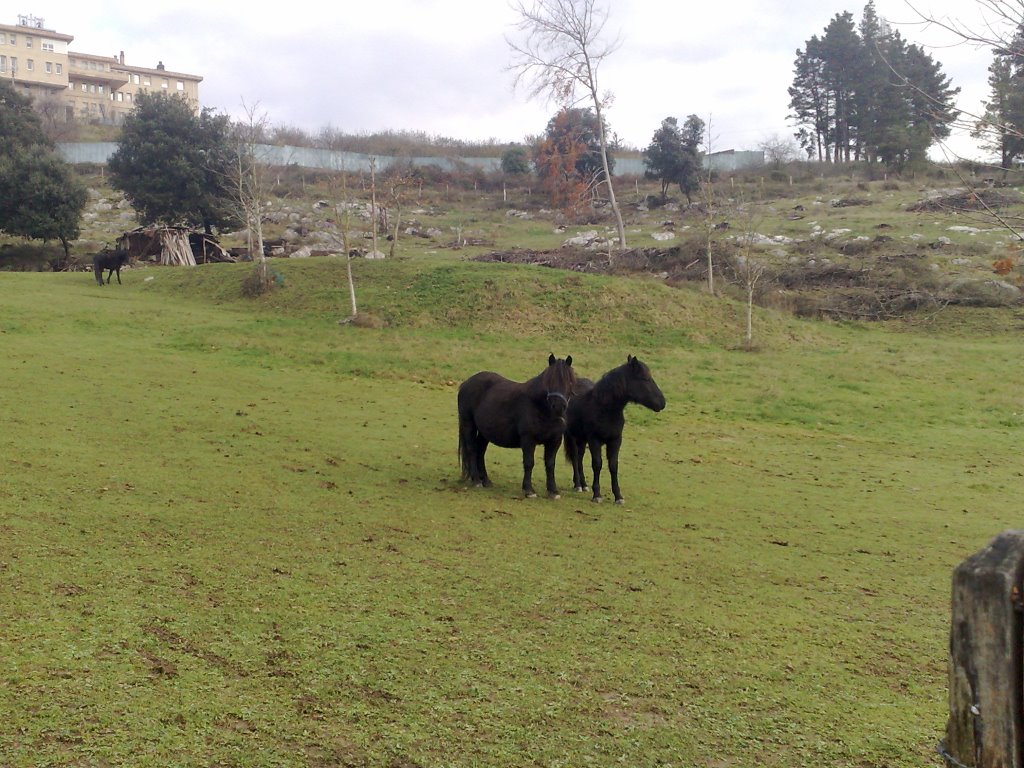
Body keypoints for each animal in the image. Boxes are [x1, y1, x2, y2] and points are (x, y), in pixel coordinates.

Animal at [458, 354, 577, 499]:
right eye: (550, 381)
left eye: (569, 382)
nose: (559, 407)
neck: (540, 407)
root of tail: (465, 383)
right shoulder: (528, 439)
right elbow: (529, 462)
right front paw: (529, 490)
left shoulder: (554, 441)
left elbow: (550, 464)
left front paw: (553, 491)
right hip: (468, 424)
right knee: (472, 449)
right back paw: (476, 480)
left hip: (484, 432)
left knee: (480, 452)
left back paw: (485, 480)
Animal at [565, 360, 667, 507]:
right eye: (644, 379)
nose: (662, 403)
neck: (604, 409)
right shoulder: (594, 440)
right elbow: (597, 464)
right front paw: (597, 495)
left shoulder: (615, 441)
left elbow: (613, 465)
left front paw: (618, 496)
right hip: (572, 436)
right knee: (574, 457)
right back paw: (578, 485)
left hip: (582, 439)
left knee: (579, 457)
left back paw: (584, 485)